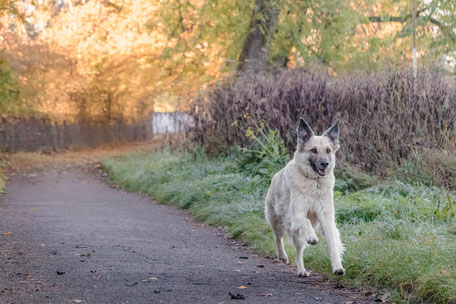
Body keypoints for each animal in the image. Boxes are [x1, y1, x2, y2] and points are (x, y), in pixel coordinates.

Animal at [266, 119, 344, 278]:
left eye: (328, 150)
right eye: (313, 150)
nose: (325, 164)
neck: (314, 182)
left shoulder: (327, 219)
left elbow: (333, 245)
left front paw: (337, 267)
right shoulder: (296, 216)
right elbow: (306, 220)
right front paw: (312, 237)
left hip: (296, 235)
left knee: (298, 253)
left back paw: (302, 270)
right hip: (276, 220)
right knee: (278, 238)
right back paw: (283, 256)